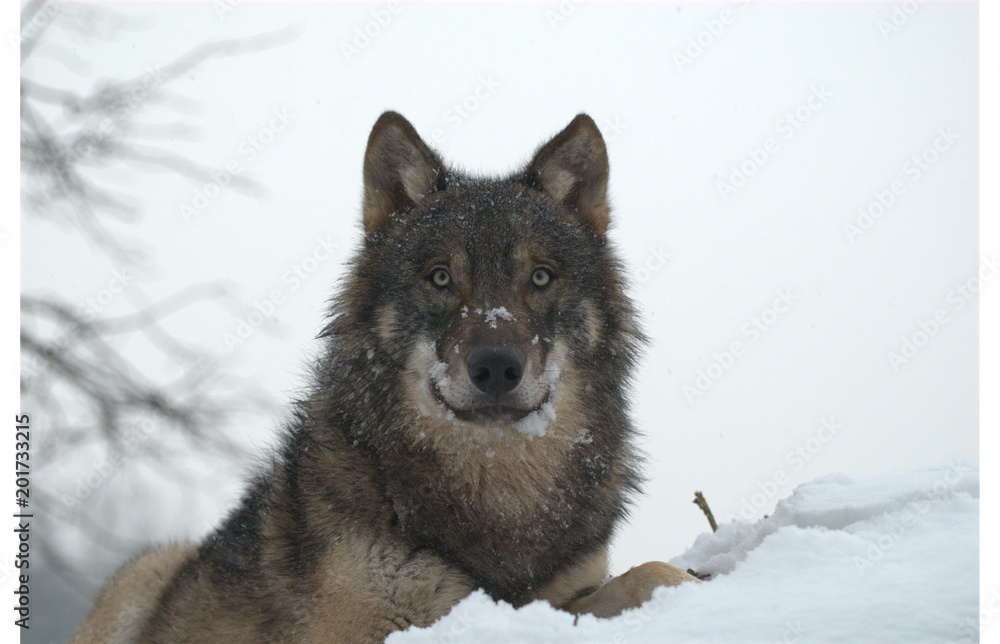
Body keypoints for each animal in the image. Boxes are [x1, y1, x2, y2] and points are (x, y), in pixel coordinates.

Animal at [71, 112, 699, 644]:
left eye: (541, 277)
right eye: (441, 277)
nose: (496, 367)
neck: (497, 496)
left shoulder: (562, 596)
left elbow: (651, 573)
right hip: (145, 569)